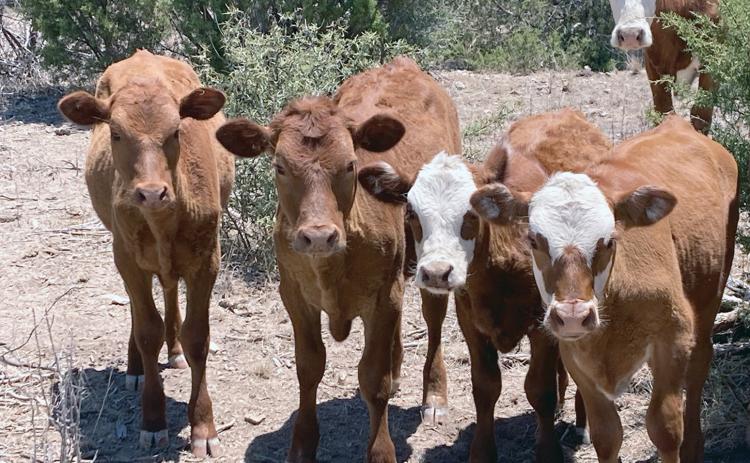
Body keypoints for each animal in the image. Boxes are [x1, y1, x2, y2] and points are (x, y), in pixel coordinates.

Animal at [57, 49, 234, 457]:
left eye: (175, 132)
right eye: (116, 133)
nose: (152, 193)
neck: (163, 223)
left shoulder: (207, 260)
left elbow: (198, 337)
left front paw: (203, 425)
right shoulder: (127, 258)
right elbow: (147, 330)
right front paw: (152, 420)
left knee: (169, 290)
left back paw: (175, 349)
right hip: (122, 252)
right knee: (139, 310)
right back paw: (137, 366)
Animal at [215, 56, 461, 462]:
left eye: (349, 164)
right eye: (279, 166)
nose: (318, 235)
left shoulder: (383, 296)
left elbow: (373, 379)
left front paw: (381, 450)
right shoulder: (294, 294)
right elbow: (309, 367)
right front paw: (302, 444)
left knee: (434, 319)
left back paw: (435, 394)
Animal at [358, 108, 609, 462]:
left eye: (472, 214)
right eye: (411, 213)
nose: (436, 272)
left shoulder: (543, 323)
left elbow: (539, 390)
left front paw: (548, 449)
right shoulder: (471, 320)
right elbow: (486, 388)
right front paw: (482, 451)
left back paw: (582, 422)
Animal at [471, 114, 738, 462]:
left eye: (609, 240)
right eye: (533, 240)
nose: (573, 315)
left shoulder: (673, 339)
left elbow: (665, 430)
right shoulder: (576, 356)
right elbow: (607, 437)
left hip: (709, 301)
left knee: (699, 367)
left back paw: (695, 445)